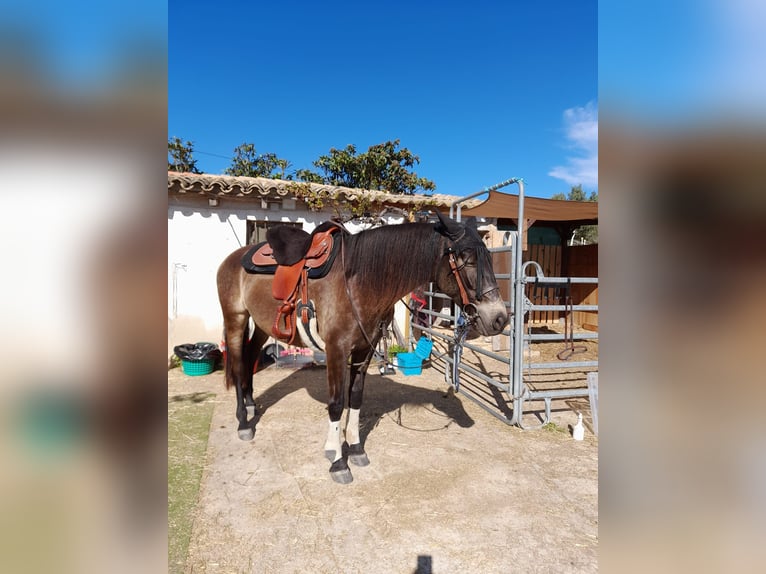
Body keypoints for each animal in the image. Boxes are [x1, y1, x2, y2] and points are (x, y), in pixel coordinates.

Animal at [216, 214, 510, 484]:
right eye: (466, 259)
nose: (499, 318)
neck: (359, 283)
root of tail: (233, 257)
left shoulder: (363, 351)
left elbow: (355, 398)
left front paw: (355, 449)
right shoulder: (336, 350)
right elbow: (336, 405)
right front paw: (337, 460)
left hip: (263, 325)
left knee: (251, 357)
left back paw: (252, 405)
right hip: (236, 319)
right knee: (239, 363)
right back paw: (243, 422)